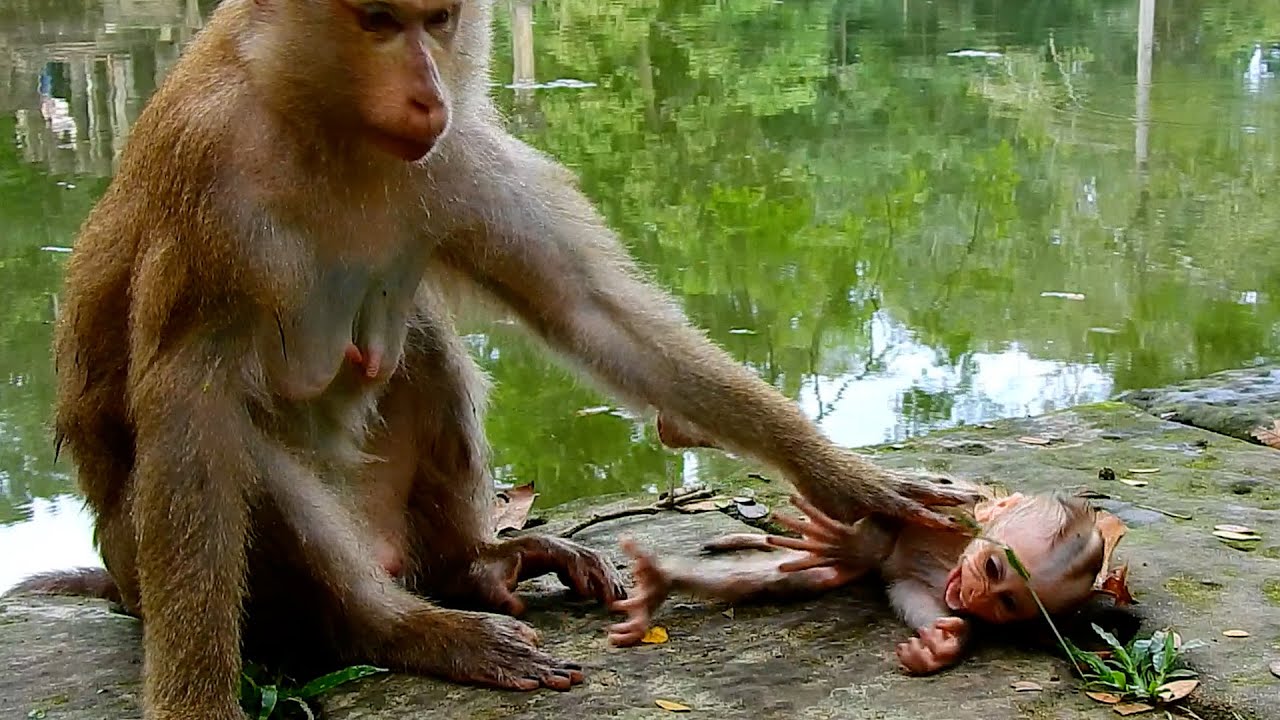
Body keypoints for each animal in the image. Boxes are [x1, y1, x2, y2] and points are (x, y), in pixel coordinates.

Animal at [8, 0, 981, 718]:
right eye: (377, 21)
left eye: (436, 19)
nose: (428, 92)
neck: (320, 120)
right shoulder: (208, 179)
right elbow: (192, 410)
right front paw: (197, 702)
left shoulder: (460, 154)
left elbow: (591, 310)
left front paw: (851, 482)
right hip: (160, 562)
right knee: (240, 445)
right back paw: (400, 628)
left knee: (417, 341)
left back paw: (471, 566)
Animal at [609, 487, 1125, 676]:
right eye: (994, 568)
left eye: (1009, 603)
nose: (976, 593)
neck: (957, 552)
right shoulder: (950, 511)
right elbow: (887, 510)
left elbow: (908, 588)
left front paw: (944, 642)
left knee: (799, 579)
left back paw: (658, 581)